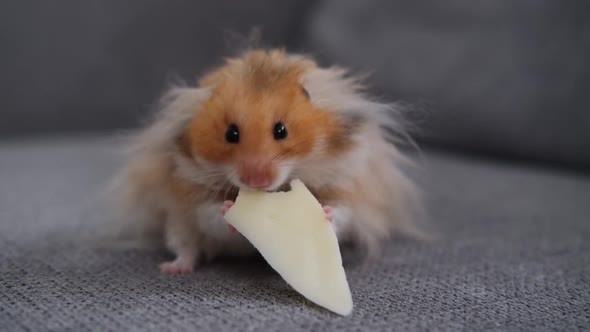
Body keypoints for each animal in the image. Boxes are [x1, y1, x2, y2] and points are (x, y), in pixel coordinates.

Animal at [113, 47, 424, 274]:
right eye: (231, 133)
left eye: (281, 130)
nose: (256, 181)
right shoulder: (191, 193)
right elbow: (212, 216)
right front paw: (228, 209)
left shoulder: (346, 182)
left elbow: (341, 212)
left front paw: (323, 212)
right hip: (177, 225)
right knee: (188, 247)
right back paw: (174, 269)